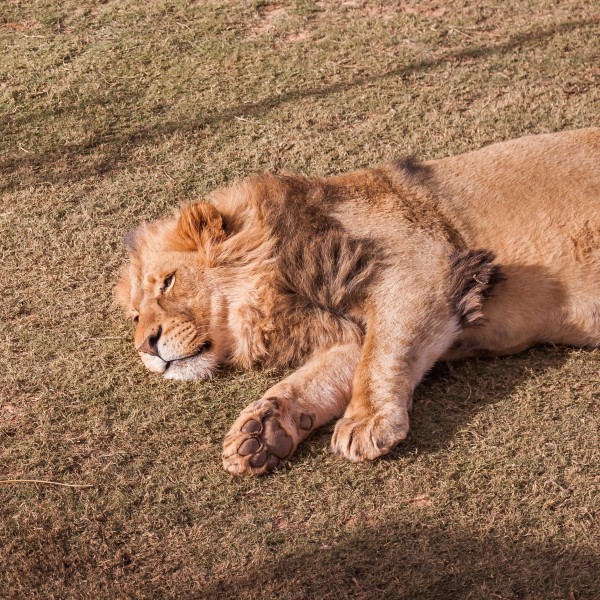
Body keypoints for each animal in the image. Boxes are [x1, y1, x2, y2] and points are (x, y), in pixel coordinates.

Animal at [116, 129, 600, 476]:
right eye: (137, 315)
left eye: (168, 283)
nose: (145, 347)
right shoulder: (357, 328)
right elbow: (324, 375)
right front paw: (262, 429)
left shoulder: (426, 269)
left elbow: (381, 356)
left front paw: (365, 423)